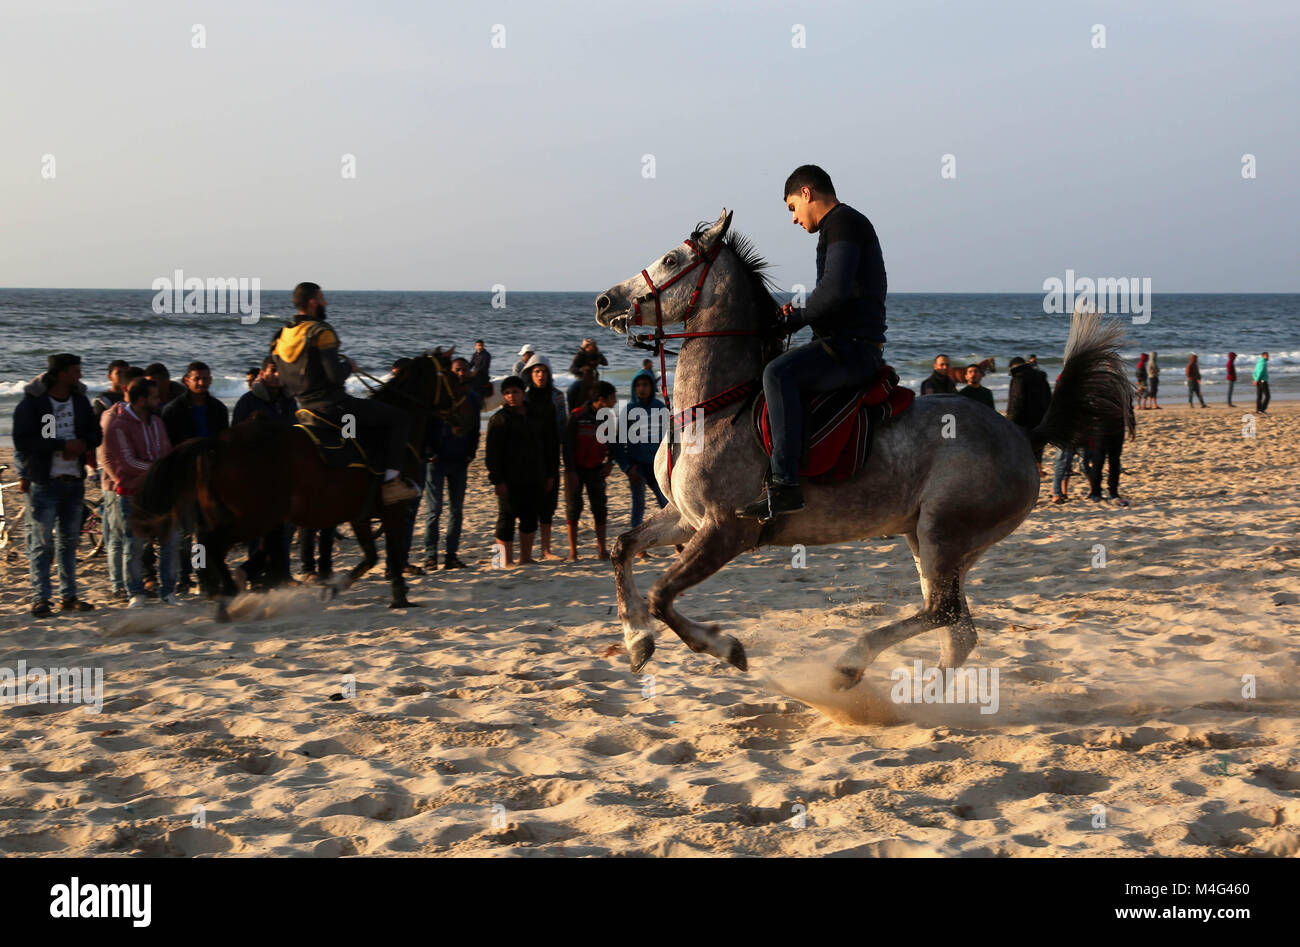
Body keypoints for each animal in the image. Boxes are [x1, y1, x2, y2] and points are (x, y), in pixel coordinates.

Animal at [130, 349, 466, 618]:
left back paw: (227, 588)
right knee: (216, 547)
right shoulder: (393, 512)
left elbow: (370, 556)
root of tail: (215, 443)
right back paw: (228, 593)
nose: (463, 415)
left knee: (214, 549)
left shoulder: (359, 515)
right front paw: (400, 596)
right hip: (253, 518)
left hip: (242, 516)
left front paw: (334, 587)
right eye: (454, 376)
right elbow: (392, 557)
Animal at [593, 209, 1132, 689]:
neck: (715, 407)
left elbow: (662, 594)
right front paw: (637, 641)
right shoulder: (688, 520)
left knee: (941, 613)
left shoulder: (726, 530)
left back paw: (852, 665)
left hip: (944, 534)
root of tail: (1023, 435)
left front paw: (725, 648)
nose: (602, 301)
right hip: (931, 541)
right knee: (956, 629)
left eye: (669, 259)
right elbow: (623, 548)